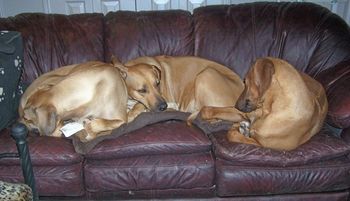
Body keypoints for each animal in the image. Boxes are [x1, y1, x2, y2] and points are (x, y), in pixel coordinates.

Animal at [112, 55, 243, 124]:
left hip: (206, 74)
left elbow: (139, 106)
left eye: (157, 83)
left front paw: (133, 112)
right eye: (141, 91)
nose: (163, 106)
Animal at [200, 57, 328, 150]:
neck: (269, 110)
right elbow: (206, 110)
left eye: (245, 81)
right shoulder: (245, 113)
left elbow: (232, 134)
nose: (236, 105)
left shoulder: (262, 144)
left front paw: (239, 128)